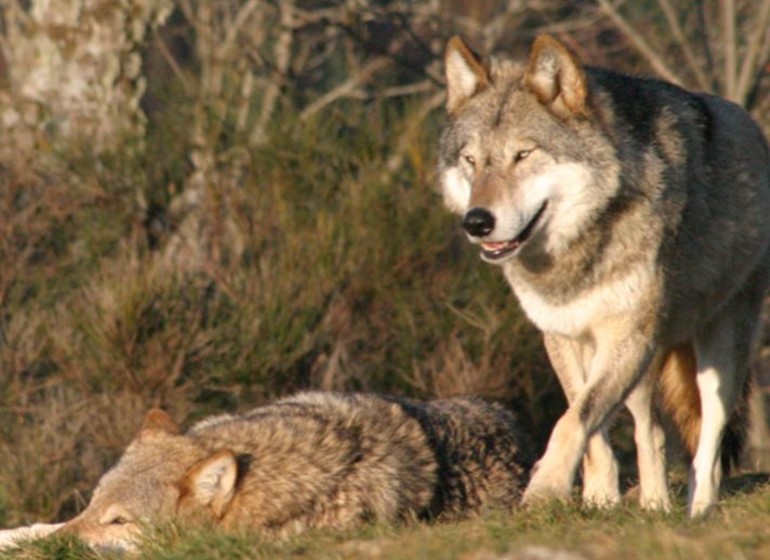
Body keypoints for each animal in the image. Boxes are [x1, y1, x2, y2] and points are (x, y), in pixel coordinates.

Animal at [436, 34, 768, 516]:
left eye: (523, 154)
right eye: (470, 160)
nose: (476, 221)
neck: (575, 256)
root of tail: (751, 125)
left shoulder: (626, 334)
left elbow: (572, 420)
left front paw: (545, 489)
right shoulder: (564, 335)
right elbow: (586, 420)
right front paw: (598, 498)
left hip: (716, 348)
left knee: (709, 432)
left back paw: (699, 508)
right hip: (643, 361)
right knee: (649, 428)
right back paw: (654, 504)